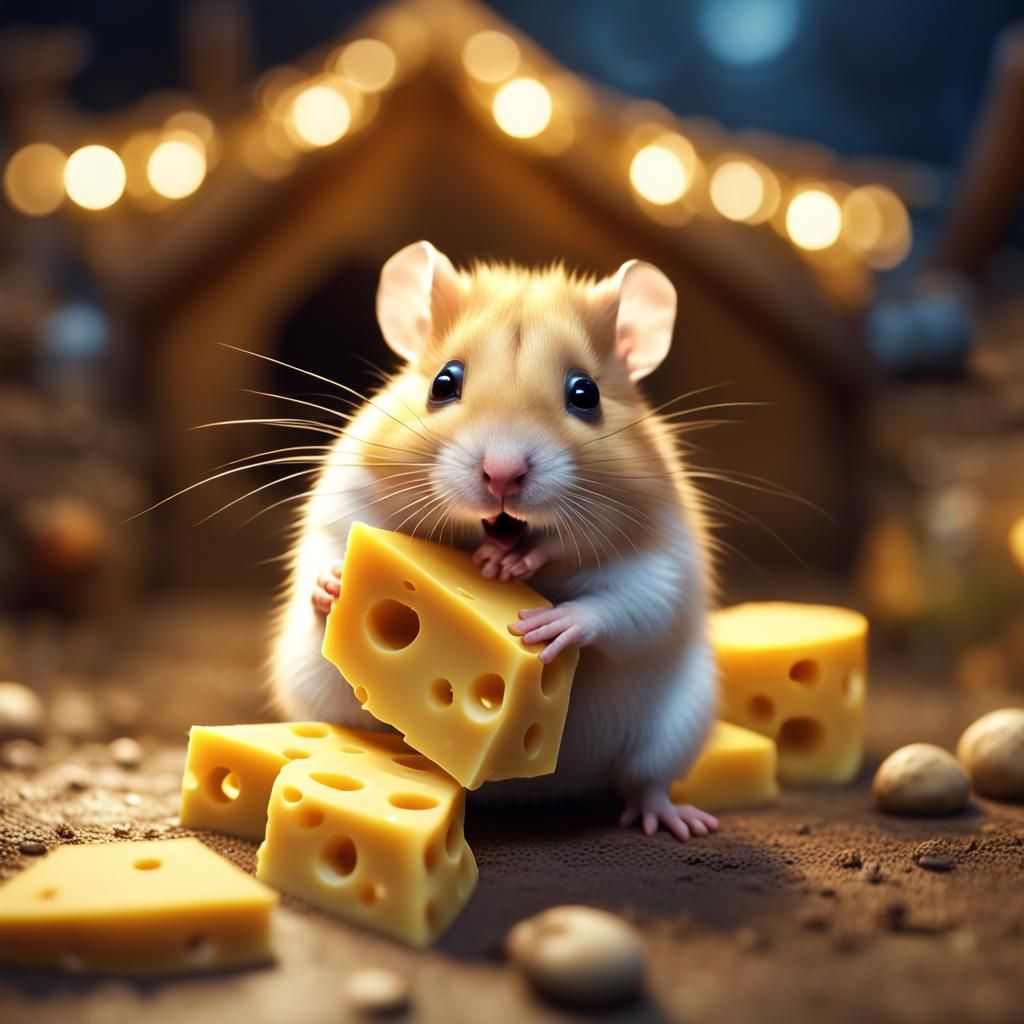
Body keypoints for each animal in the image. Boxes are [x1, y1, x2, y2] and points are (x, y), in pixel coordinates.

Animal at [269, 240, 719, 842]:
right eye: (443, 383)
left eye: (586, 394)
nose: (502, 474)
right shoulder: (339, 511)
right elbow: (322, 561)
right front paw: (335, 584)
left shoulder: (662, 561)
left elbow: (625, 605)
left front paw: (548, 625)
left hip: (677, 728)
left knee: (645, 781)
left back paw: (679, 822)